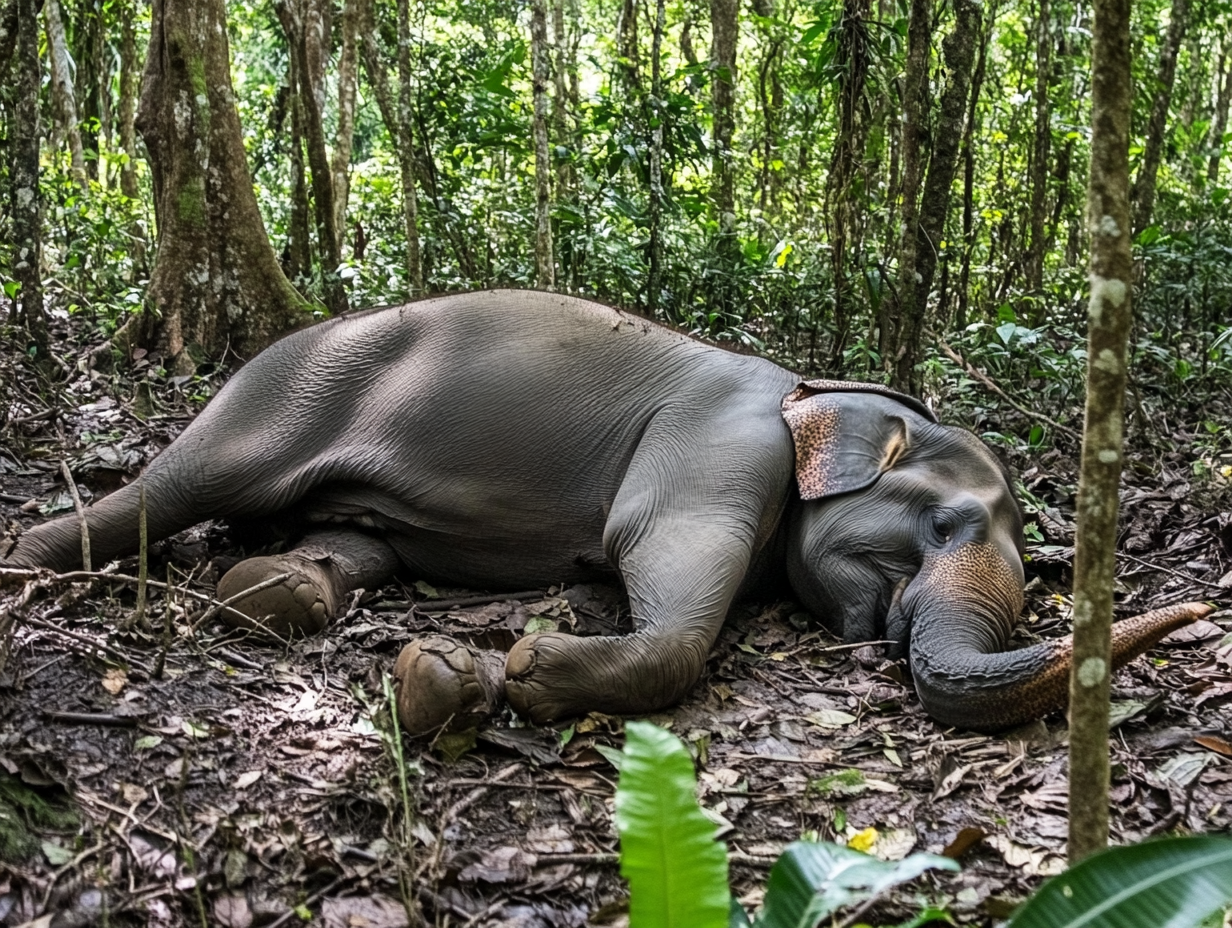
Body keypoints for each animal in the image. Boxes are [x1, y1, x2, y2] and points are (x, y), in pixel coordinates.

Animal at [1, 290, 1209, 735]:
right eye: (949, 526)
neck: (817, 388)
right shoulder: (719, 445)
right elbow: (664, 565)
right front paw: (519, 670)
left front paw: (461, 675)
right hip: (281, 395)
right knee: (180, 487)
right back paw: (31, 561)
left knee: (349, 542)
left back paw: (271, 593)